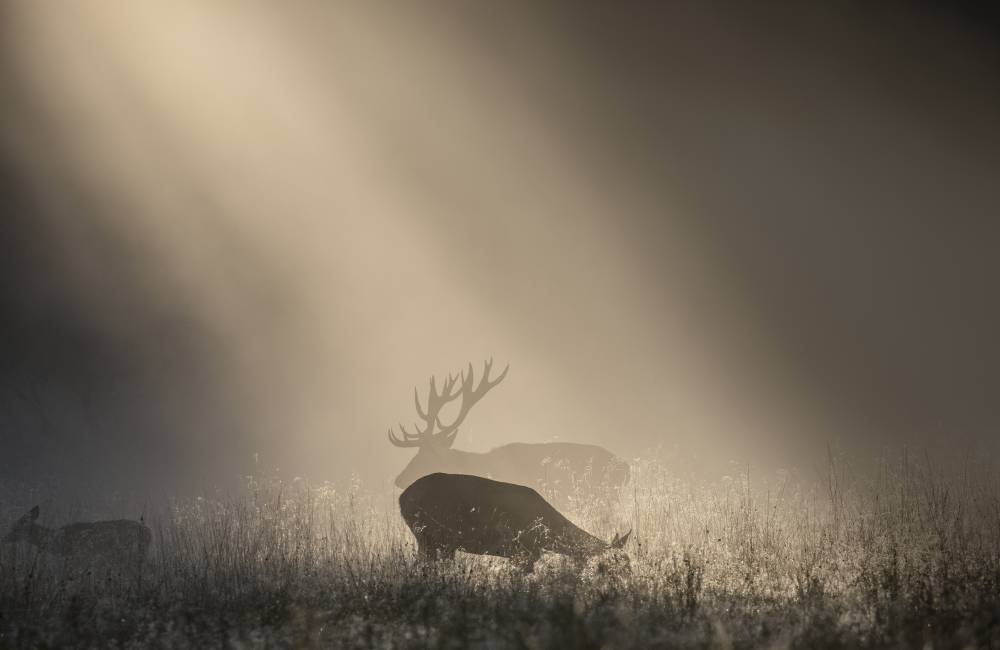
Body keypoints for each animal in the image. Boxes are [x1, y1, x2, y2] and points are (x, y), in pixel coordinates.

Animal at [2, 504, 151, 568]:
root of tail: (148, 532)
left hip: (129, 554)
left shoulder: (78, 557)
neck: (59, 541)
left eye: (17, 527)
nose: (4, 537)